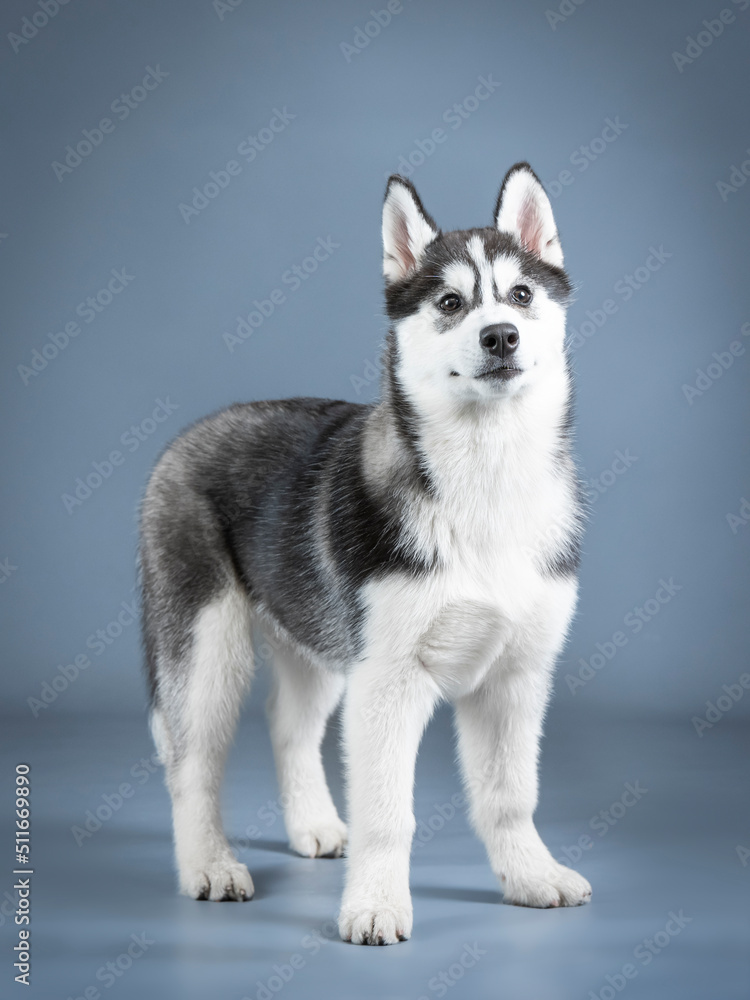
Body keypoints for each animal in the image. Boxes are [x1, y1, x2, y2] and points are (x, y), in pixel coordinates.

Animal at [140, 162, 592, 944]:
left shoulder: (515, 677)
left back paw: (314, 825)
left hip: (316, 637)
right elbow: (389, 813)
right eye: (450, 303)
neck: (485, 479)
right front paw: (377, 905)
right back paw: (209, 864)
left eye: (521, 295)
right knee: (192, 762)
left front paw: (531, 877)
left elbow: (510, 795)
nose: (501, 336)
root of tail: (193, 432)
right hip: (208, 647)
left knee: (287, 725)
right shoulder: (388, 680)